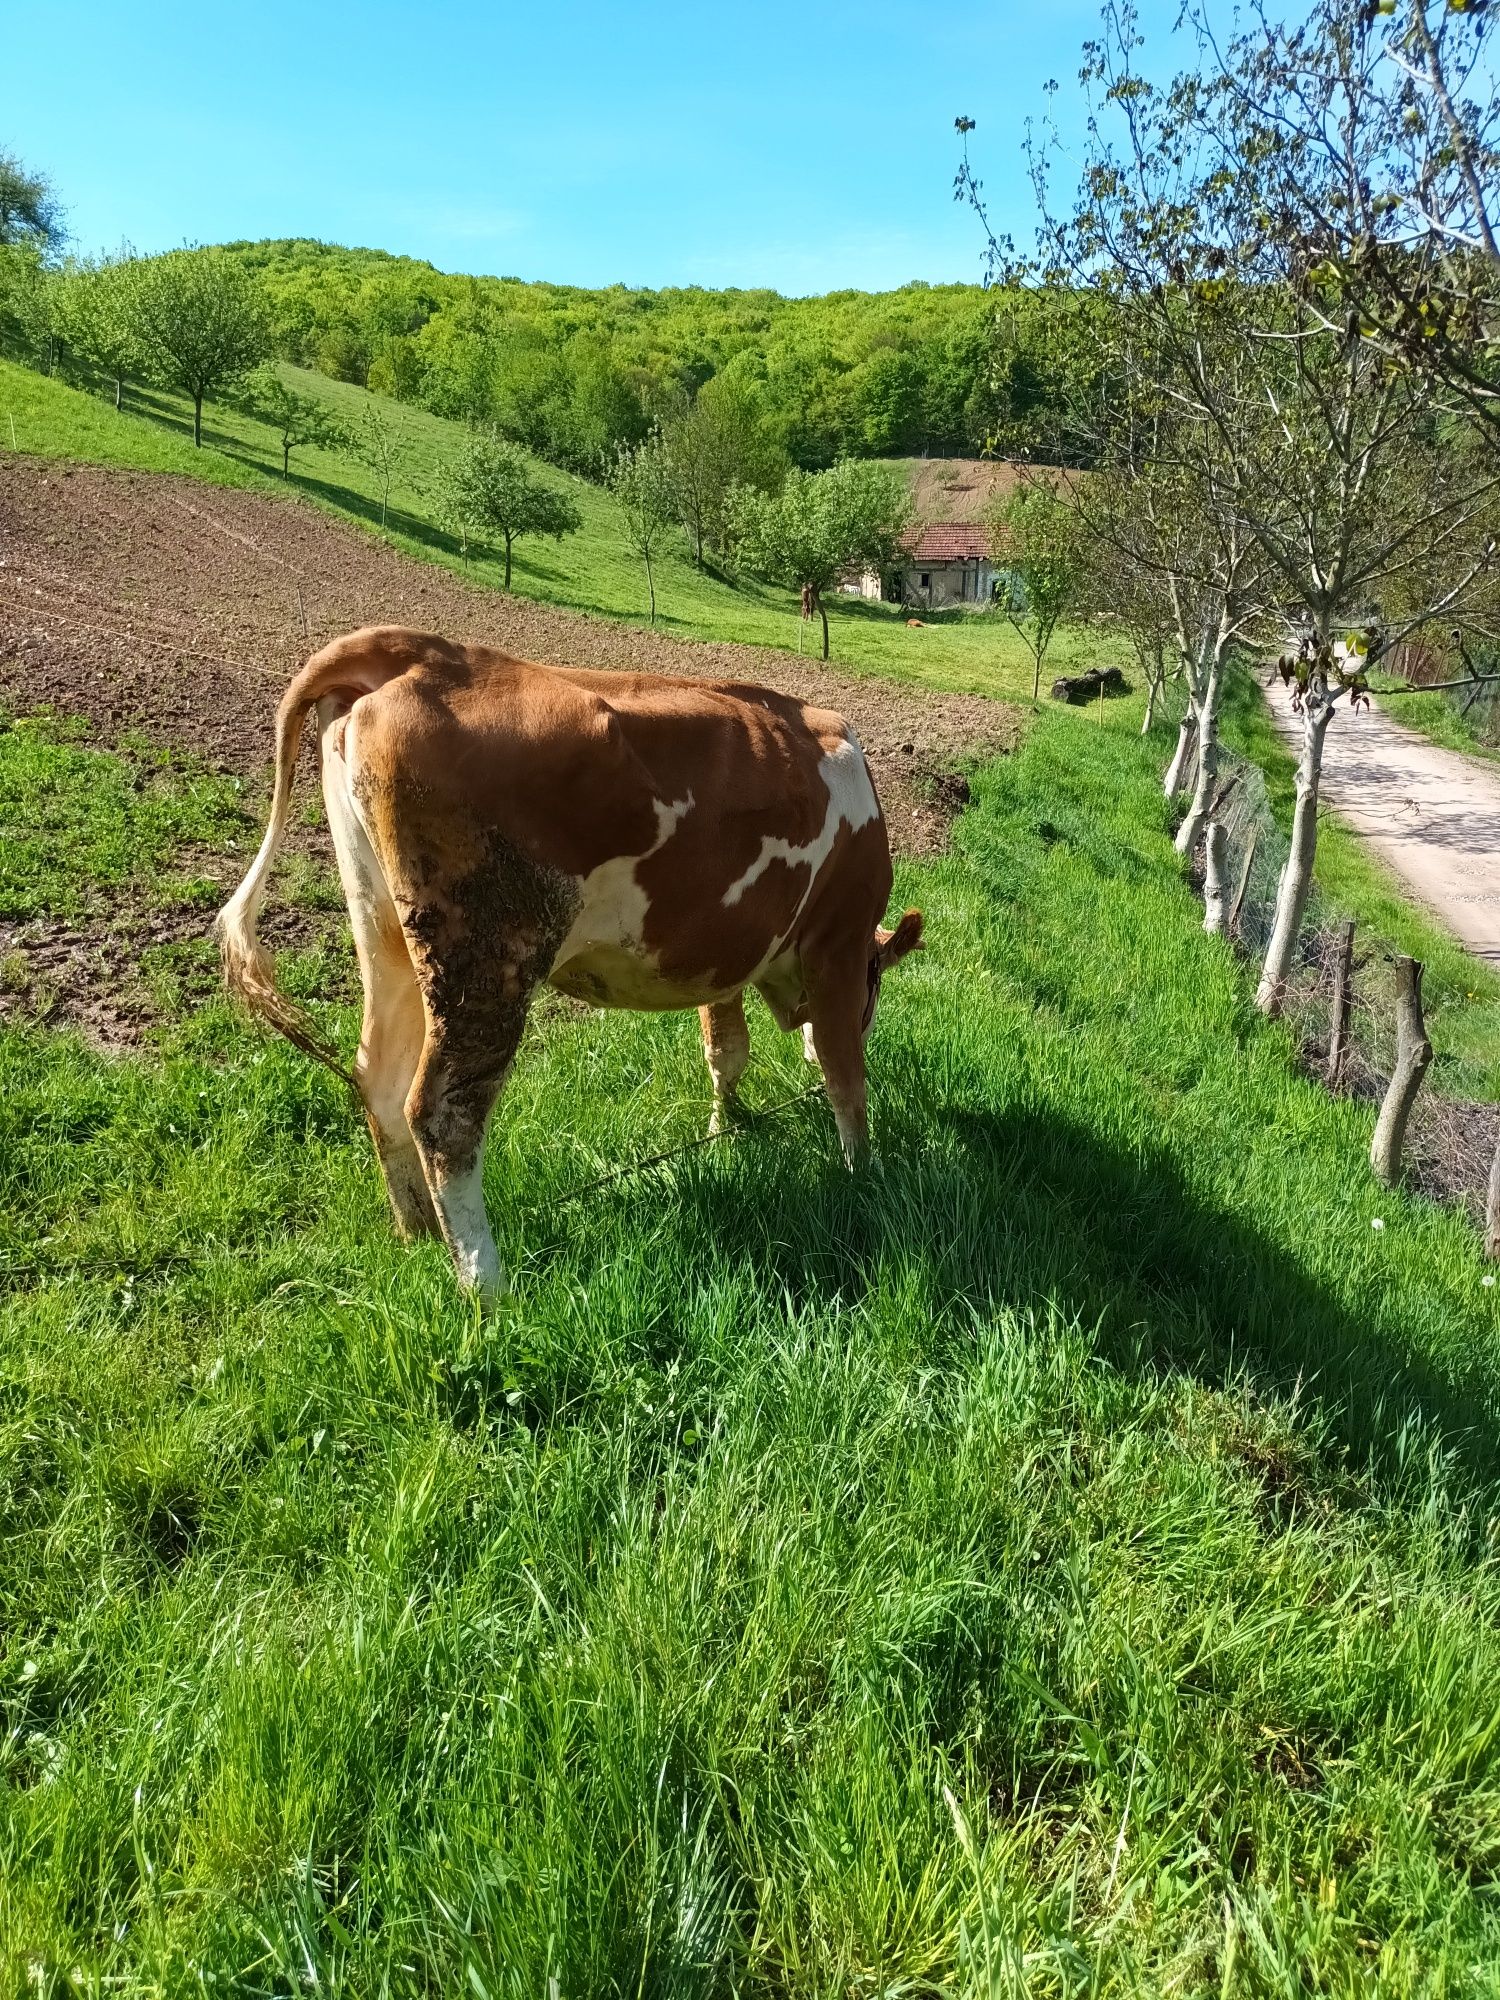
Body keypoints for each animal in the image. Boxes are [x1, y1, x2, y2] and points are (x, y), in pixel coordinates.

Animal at [217, 628, 924, 1312]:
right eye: (876, 982)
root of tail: (427, 652)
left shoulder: (719, 957)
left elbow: (726, 1051)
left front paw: (725, 1129)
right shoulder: (837, 943)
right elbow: (843, 1073)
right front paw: (865, 1175)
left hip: (386, 935)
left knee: (379, 1082)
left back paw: (420, 1234)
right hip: (488, 959)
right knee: (442, 1114)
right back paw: (486, 1285)